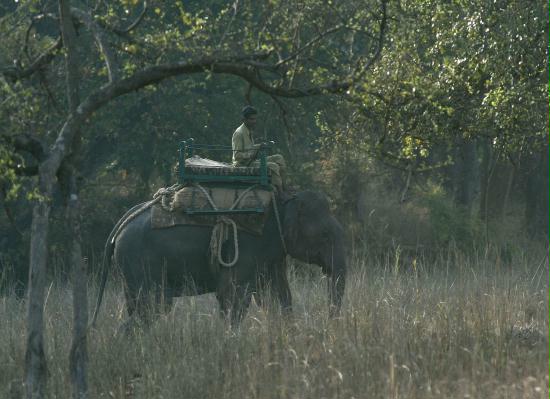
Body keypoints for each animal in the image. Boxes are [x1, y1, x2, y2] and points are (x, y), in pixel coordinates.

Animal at [92, 190, 348, 324]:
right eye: (325, 236)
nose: (329, 322)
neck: (283, 199)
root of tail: (120, 226)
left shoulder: (272, 252)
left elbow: (279, 294)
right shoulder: (246, 245)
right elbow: (232, 295)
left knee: (140, 309)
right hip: (139, 262)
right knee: (152, 308)